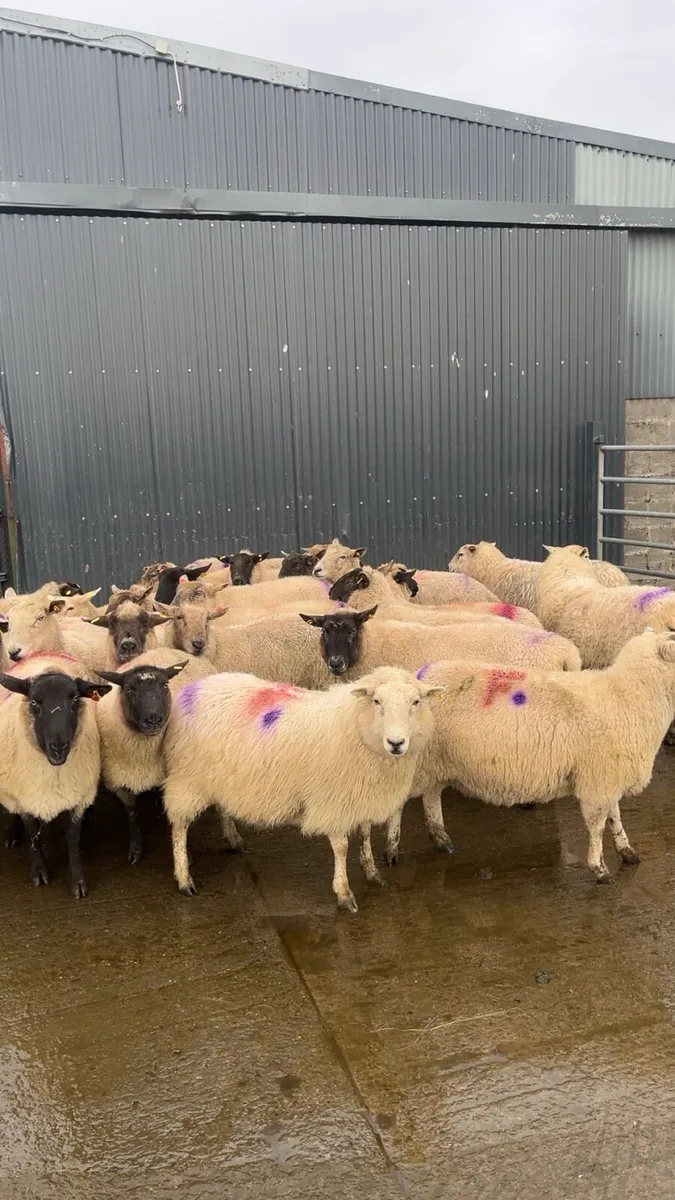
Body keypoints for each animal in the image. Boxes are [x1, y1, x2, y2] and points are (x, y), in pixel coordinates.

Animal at [0, 653, 112, 896]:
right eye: (34, 702)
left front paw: (77, 879)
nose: (58, 746)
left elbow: (72, 836)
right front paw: (39, 872)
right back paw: (12, 832)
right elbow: (32, 832)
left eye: (75, 699)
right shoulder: (26, 799)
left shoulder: (79, 795)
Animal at [94, 647, 228, 864]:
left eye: (165, 686)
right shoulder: (118, 782)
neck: (141, 757)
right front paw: (136, 848)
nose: (154, 719)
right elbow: (131, 813)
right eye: (129, 689)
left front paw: (186, 853)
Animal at [162, 665, 441, 910]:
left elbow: (365, 834)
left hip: (220, 777)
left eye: (416, 702)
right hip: (187, 778)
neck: (356, 726)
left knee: (221, 806)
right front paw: (344, 893)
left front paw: (372, 872)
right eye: (376, 701)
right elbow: (341, 847)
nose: (396, 743)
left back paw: (234, 839)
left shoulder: (362, 793)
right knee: (179, 827)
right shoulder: (333, 800)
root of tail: (197, 685)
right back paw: (184, 878)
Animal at [382, 629, 675, 882]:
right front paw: (600, 869)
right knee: (400, 802)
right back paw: (392, 851)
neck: (626, 696)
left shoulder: (607, 775)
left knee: (431, 796)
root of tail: (419, 677)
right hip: (417, 758)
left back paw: (441, 839)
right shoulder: (598, 779)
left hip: (437, 760)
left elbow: (614, 816)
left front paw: (627, 852)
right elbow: (597, 824)